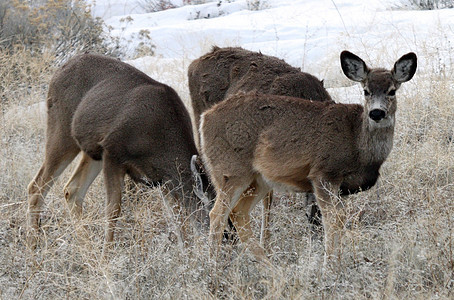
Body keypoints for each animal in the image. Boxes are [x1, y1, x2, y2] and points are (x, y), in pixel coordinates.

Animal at [27, 52, 213, 252]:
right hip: (62, 130)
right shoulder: (113, 152)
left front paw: (185, 252)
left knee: (72, 190)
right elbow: (113, 209)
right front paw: (107, 254)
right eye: (212, 213)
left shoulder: (162, 179)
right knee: (36, 186)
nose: (225, 241)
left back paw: (88, 248)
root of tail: (58, 71)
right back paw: (33, 247)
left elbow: (177, 218)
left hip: (92, 151)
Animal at [200, 50, 416, 262]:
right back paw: (214, 266)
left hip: (258, 179)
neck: (357, 143)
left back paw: (270, 267)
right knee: (217, 214)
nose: (377, 113)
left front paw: (338, 263)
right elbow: (332, 220)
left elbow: (340, 218)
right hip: (230, 170)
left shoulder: (342, 188)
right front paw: (330, 266)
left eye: (392, 91)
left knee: (239, 214)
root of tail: (205, 118)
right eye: (366, 91)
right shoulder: (323, 174)